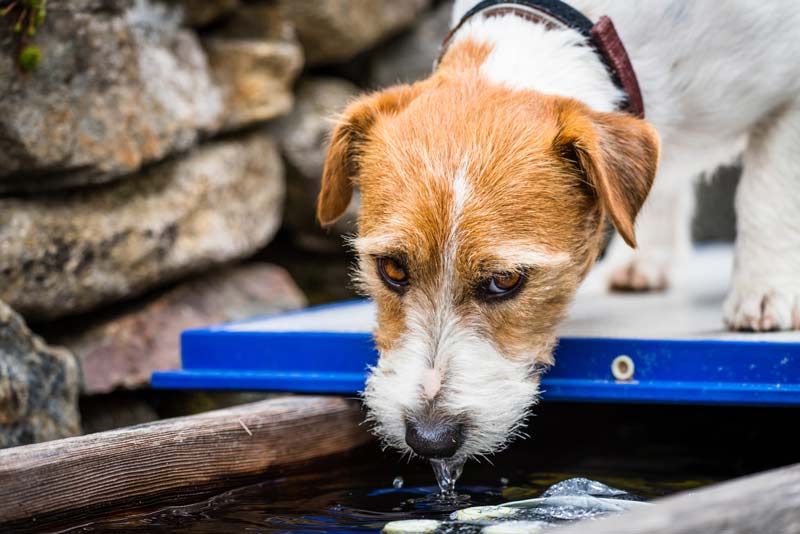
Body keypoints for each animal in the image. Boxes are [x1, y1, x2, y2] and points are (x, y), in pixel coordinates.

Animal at [316, 0, 796, 462]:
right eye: (392, 269)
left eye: (505, 280)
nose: (430, 439)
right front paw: (646, 258)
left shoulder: (789, 101)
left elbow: (767, 191)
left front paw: (765, 292)